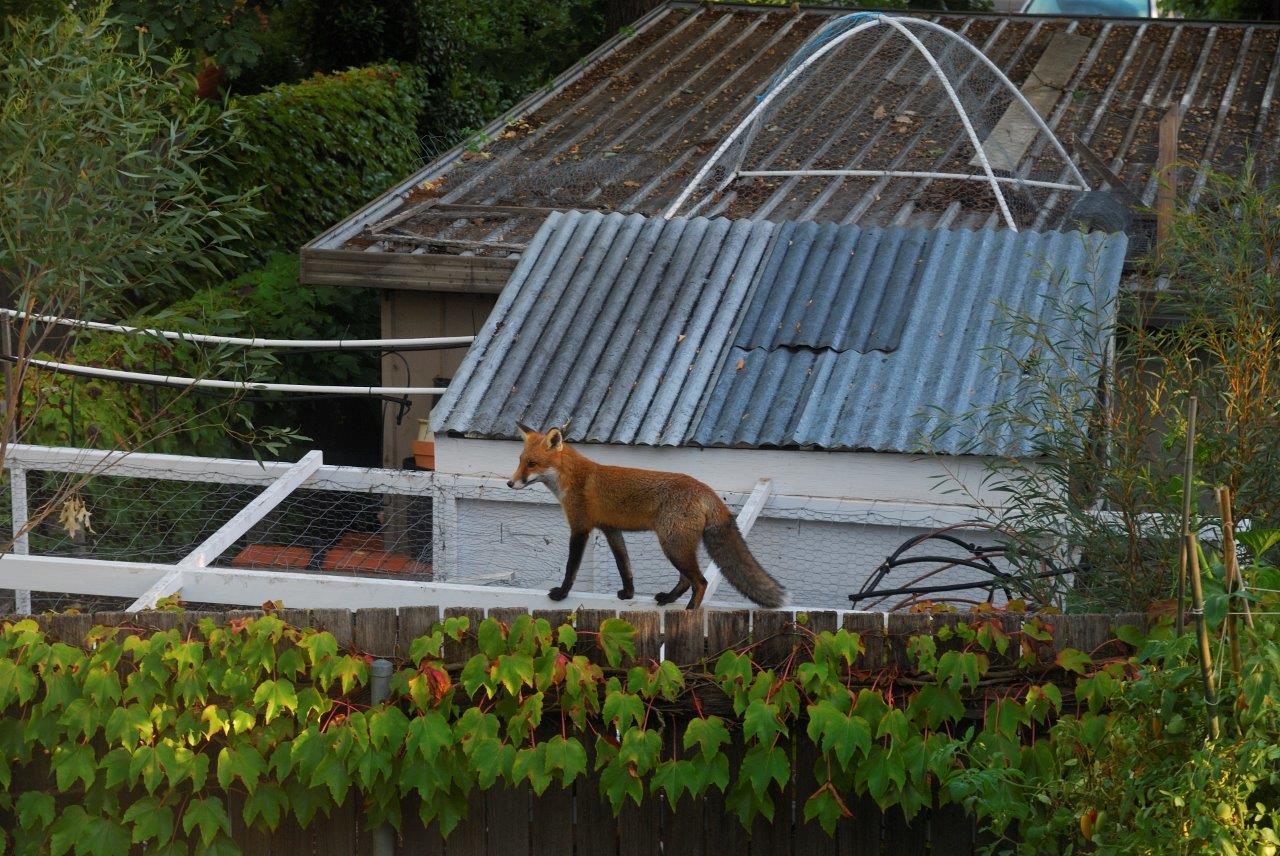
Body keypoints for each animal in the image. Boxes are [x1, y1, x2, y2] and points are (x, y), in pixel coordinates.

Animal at [506, 424, 786, 610]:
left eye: (531, 464)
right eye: (520, 461)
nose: (510, 483)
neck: (573, 478)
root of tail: (705, 489)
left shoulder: (580, 527)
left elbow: (571, 568)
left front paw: (562, 593)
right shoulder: (611, 529)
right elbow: (624, 565)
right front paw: (629, 594)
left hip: (672, 545)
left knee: (701, 582)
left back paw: (690, 612)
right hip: (678, 546)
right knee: (687, 580)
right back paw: (669, 599)